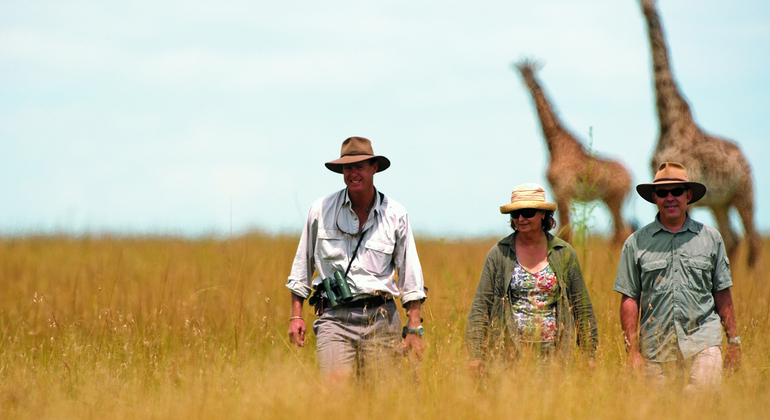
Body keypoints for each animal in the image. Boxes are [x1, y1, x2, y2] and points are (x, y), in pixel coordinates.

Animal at [512, 57, 632, 244]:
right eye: (521, 73)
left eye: (533, 72)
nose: (528, 85)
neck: (555, 147)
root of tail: (632, 177)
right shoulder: (556, 192)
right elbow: (563, 230)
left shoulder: (563, 191)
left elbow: (566, 231)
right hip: (608, 199)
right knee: (621, 231)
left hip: (616, 199)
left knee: (621, 232)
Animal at [636, 0, 756, 268]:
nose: (645, 8)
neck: (666, 119)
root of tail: (744, 158)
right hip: (720, 203)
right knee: (732, 239)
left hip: (744, 193)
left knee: (753, 242)